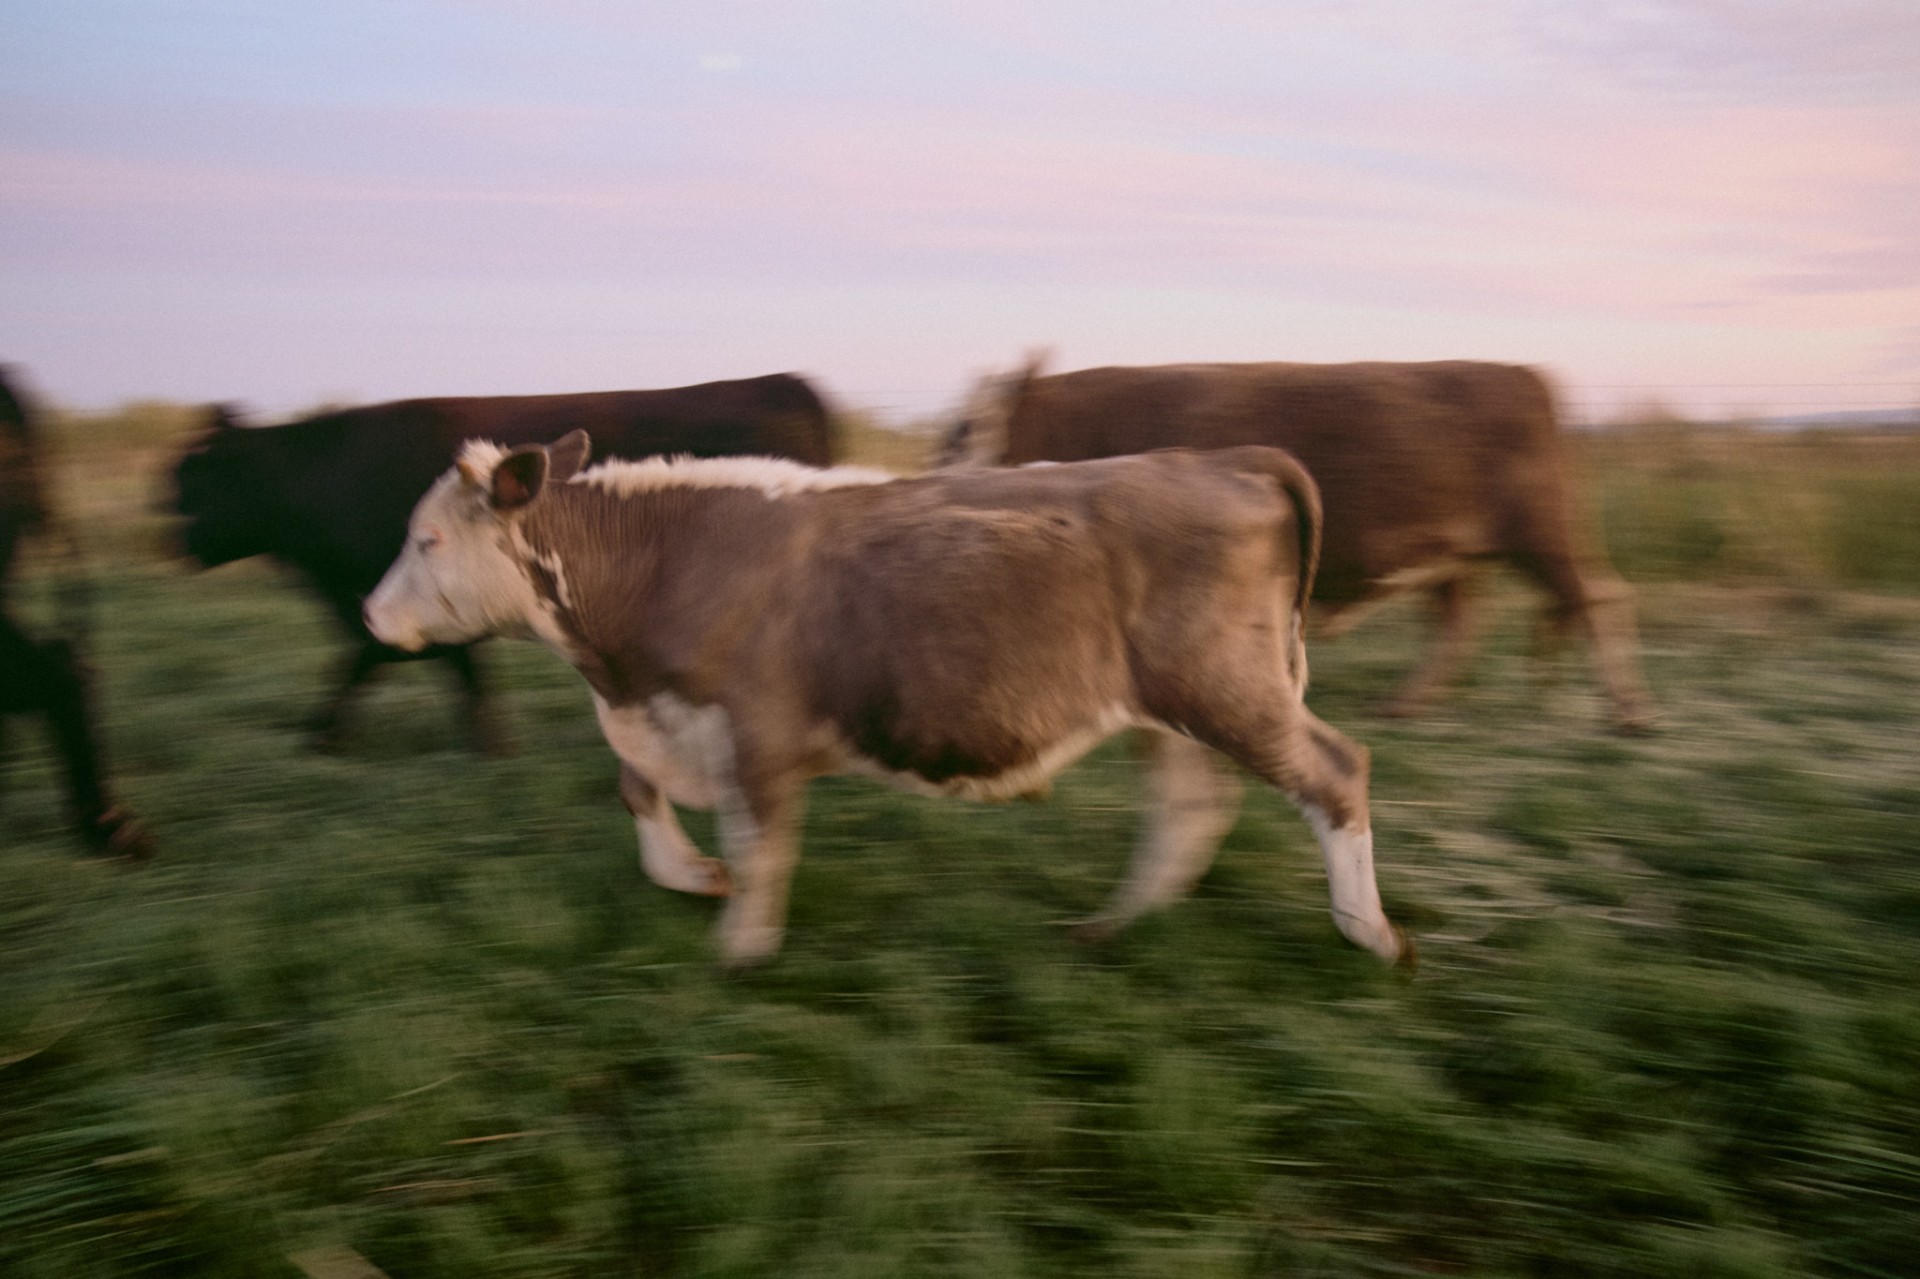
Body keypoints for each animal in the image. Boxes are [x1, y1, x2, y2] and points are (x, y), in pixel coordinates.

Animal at [363, 430, 1412, 969]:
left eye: (427, 539)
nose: (372, 615)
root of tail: (1224, 455)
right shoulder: (667, 718)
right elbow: (639, 792)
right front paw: (695, 876)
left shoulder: (757, 729)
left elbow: (761, 841)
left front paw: (739, 944)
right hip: (1174, 705)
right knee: (1192, 803)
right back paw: (1121, 922)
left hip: (1231, 688)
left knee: (1334, 773)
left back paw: (1369, 931)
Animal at [941, 356, 1653, 733]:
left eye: (965, 427)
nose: (934, 472)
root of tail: (1522, 374)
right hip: (1459, 556)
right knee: (1465, 624)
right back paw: (1409, 702)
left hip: (1544, 533)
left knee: (1601, 599)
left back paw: (1628, 709)